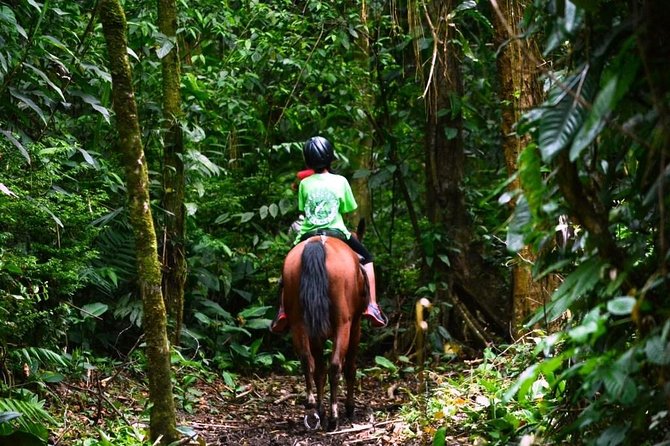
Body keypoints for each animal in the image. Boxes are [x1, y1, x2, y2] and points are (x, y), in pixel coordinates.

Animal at [282, 235, 370, 430]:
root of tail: (317, 243)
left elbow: (319, 369)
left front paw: (321, 411)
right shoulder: (355, 325)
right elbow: (350, 367)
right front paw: (350, 408)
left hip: (299, 321)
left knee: (308, 361)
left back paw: (313, 405)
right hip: (343, 324)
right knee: (336, 365)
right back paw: (333, 418)